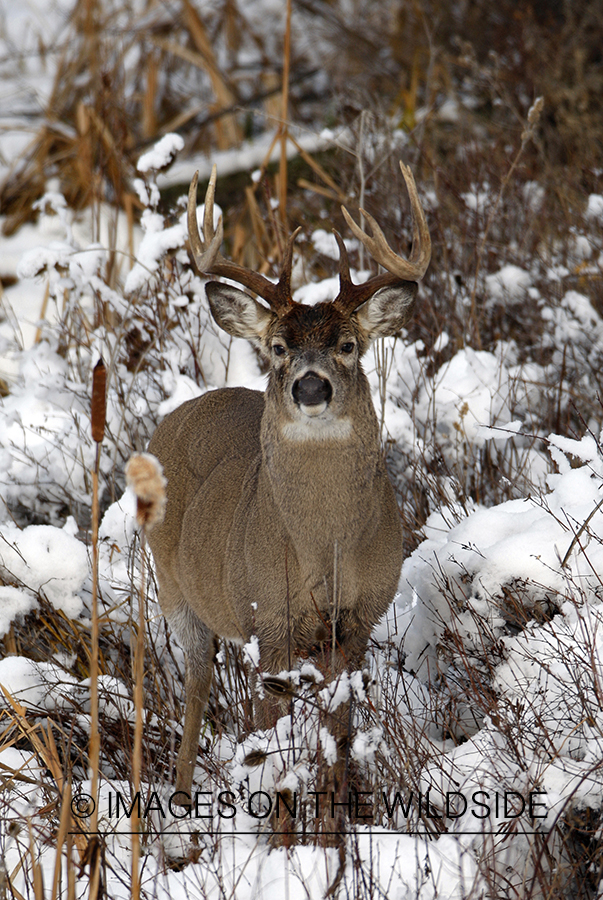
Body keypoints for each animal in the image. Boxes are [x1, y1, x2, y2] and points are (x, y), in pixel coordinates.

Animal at [146, 161, 431, 801]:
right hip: (175, 589)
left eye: (348, 345)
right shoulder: (268, 618)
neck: (323, 553)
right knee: (197, 684)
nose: (310, 386)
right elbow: (268, 738)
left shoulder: (359, 619)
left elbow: (339, 734)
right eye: (277, 347)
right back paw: (179, 798)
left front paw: (336, 810)